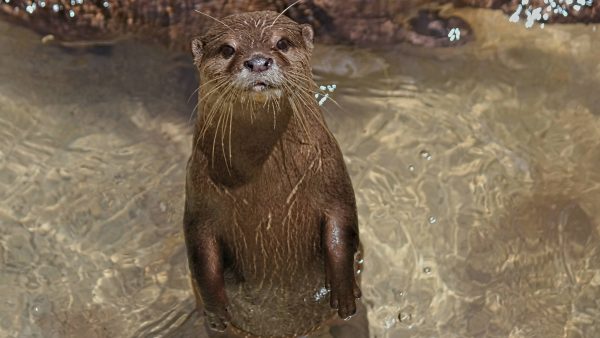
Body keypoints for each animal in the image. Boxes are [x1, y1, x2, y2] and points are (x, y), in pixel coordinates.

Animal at [183, 9, 360, 336]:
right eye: (227, 49)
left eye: (282, 43)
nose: (257, 61)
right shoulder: (198, 198)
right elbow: (201, 252)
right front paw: (215, 312)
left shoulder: (334, 177)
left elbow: (342, 228)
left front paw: (344, 292)